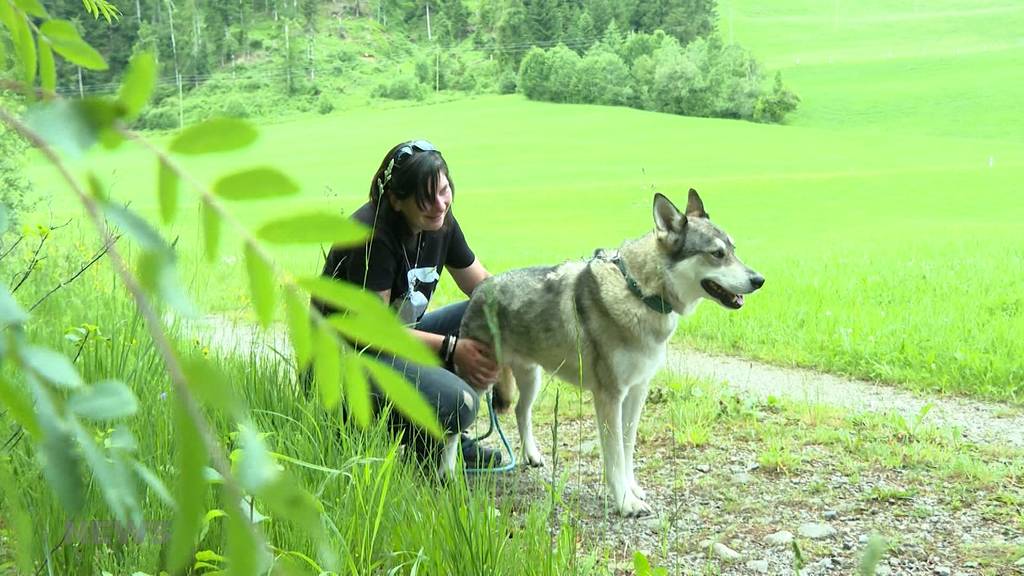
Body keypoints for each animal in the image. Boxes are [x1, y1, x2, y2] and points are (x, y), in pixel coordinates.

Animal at [460, 189, 765, 516]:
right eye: (717, 254)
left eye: (733, 249)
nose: (759, 280)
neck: (640, 293)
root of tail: (481, 288)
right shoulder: (609, 396)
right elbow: (615, 455)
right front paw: (625, 503)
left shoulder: (637, 391)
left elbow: (628, 449)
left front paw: (633, 489)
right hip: (480, 382)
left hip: (531, 380)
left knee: (520, 411)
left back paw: (532, 455)